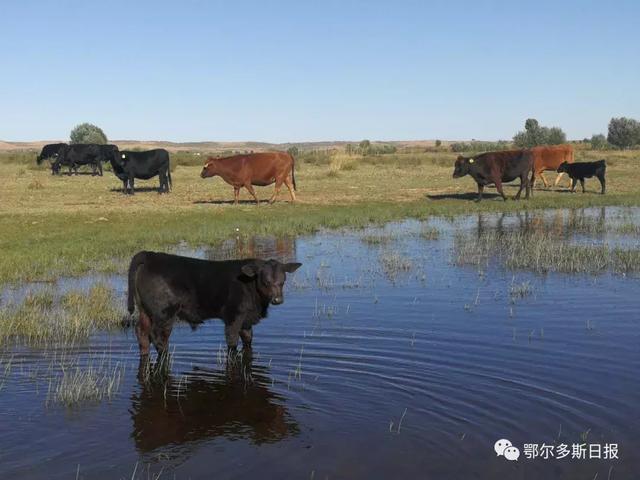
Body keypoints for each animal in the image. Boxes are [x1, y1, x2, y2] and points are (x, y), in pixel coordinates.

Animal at [129, 251, 304, 356]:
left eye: (282, 281)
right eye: (265, 281)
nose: (277, 300)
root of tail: (150, 255)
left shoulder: (246, 320)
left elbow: (248, 340)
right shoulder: (233, 316)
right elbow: (232, 342)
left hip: (146, 311)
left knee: (142, 333)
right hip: (164, 313)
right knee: (158, 337)